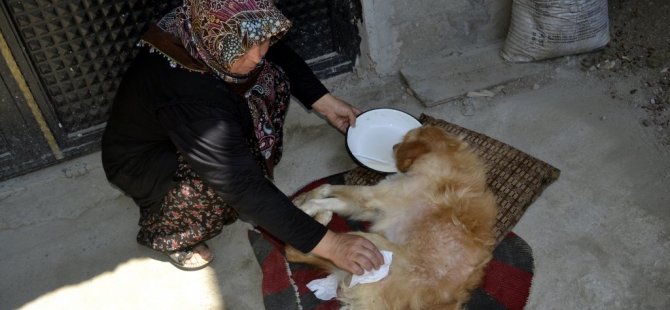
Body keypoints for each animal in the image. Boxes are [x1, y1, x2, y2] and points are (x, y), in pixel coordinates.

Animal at [288, 124, 498, 308]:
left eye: (406, 138)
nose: (393, 146)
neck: (445, 158)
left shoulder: (372, 197)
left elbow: (330, 192)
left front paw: (308, 206)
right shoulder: (372, 207)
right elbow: (329, 189)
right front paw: (304, 198)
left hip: (367, 242)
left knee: (294, 249)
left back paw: (320, 219)